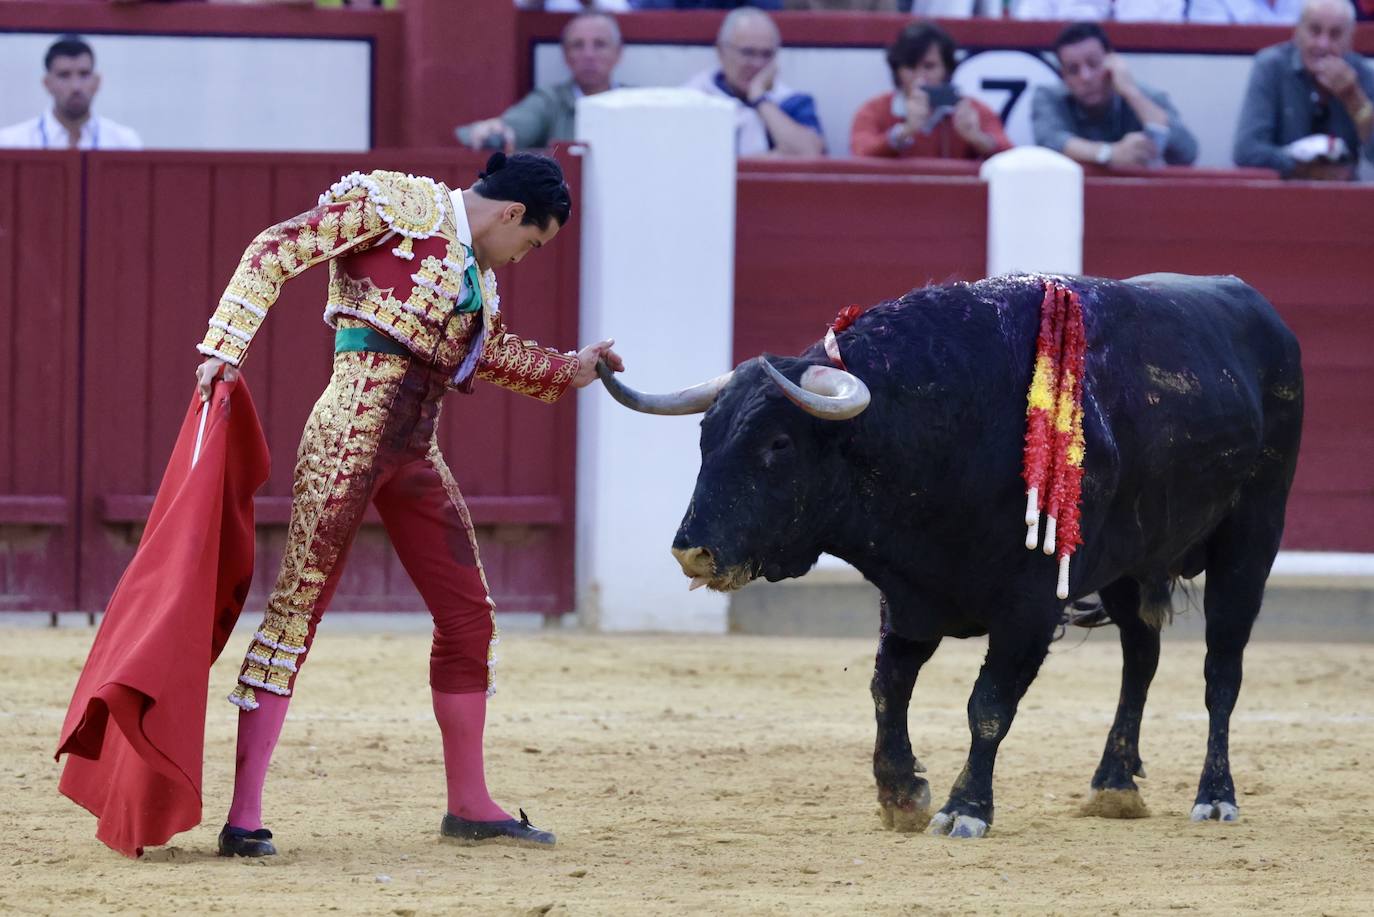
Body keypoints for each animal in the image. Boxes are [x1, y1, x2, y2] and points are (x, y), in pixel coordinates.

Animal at [599, 270, 1297, 841]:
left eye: (778, 444)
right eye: (705, 434)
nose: (693, 552)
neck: (945, 425)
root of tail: (1262, 311)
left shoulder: (1028, 609)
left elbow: (987, 706)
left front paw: (965, 809)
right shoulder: (911, 596)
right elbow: (888, 688)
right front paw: (901, 794)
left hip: (1252, 541)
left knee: (1221, 671)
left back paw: (1215, 797)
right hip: (1131, 563)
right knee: (1141, 658)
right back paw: (1114, 785)